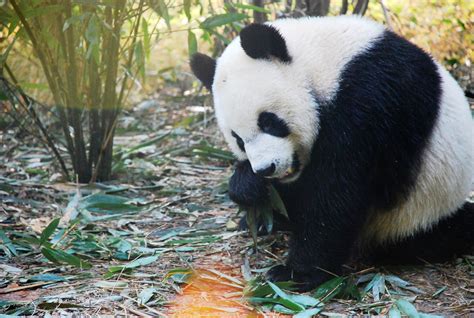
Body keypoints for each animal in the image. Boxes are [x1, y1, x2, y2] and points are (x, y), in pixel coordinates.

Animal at [190, 16, 474, 290]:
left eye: (268, 121)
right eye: (238, 139)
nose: (266, 168)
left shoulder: (371, 99)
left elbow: (338, 192)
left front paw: (295, 273)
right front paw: (248, 185)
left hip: (417, 211)